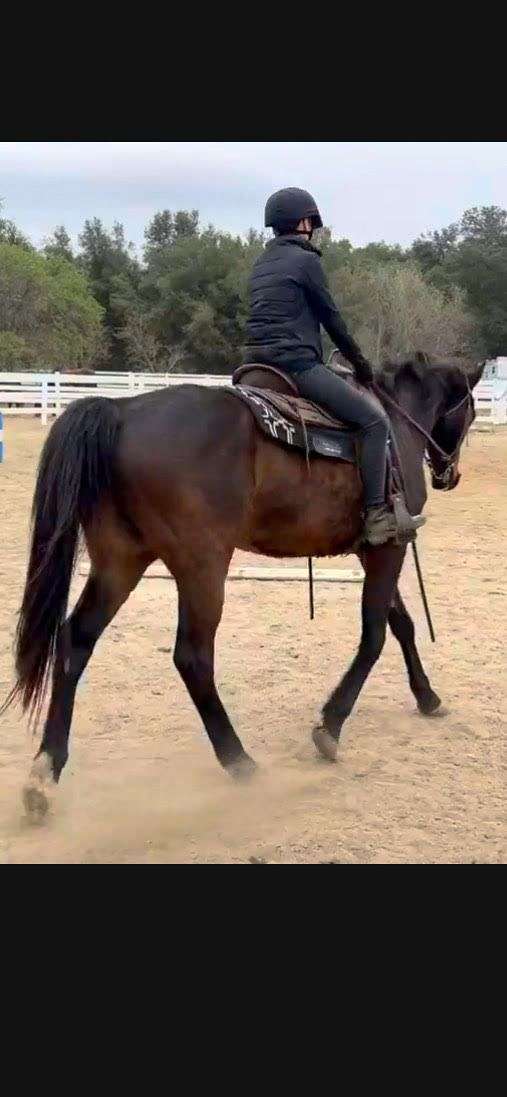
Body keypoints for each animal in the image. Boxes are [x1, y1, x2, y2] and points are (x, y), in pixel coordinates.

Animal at [4, 355, 487, 820]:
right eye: (470, 409)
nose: (450, 475)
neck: (394, 425)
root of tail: (121, 411)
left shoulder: (372, 551)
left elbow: (401, 623)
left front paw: (427, 697)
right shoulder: (390, 548)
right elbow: (375, 636)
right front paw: (330, 727)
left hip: (120, 562)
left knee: (75, 640)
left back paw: (44, 772)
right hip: (202, 567)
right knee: (192, 657)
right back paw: (240, 761)